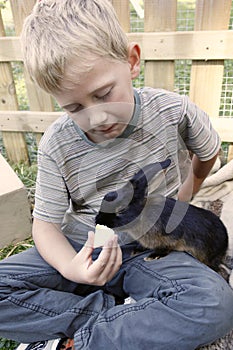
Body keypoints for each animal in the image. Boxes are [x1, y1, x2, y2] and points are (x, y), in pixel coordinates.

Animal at [95, 159, 228, 270]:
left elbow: (167, 246)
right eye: (105, 198)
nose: (98, 220)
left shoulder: (173, 237)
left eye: (122, 210)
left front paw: (153, 256)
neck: (143, 215)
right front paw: (137, 250)